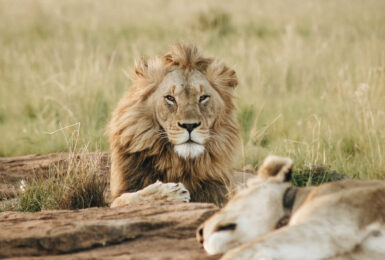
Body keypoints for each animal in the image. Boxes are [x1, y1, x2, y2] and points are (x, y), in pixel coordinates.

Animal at [107, 43, 249, 208]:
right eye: (170, 98)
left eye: (203, 98)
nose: (189, 125)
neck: (180, 164)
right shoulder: (118, 196)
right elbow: (127, 198)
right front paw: (171, 192)